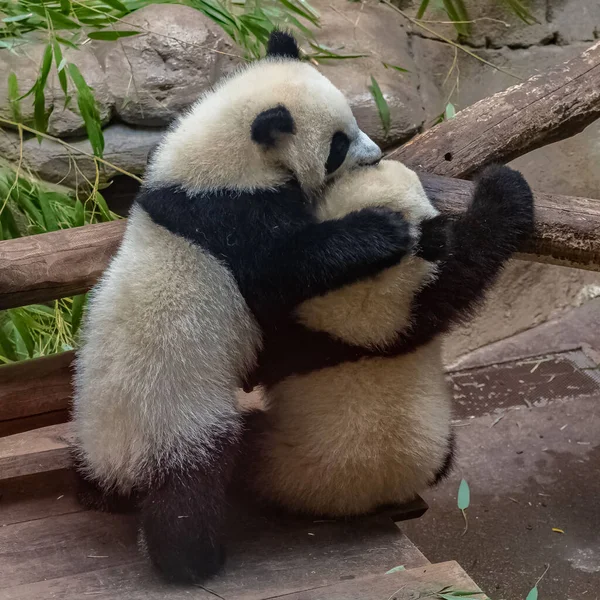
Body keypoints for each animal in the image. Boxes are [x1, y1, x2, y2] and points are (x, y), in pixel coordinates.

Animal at [71, 30, 418, 584]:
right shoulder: (234, 217)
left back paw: (96, 493)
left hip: (88, 415)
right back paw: (194, 562)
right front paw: (382, 229)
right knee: (188, 493)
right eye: (338, 145)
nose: (376, 153)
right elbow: (282, 272)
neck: (220, 158)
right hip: (180, 418)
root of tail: (117, 458)